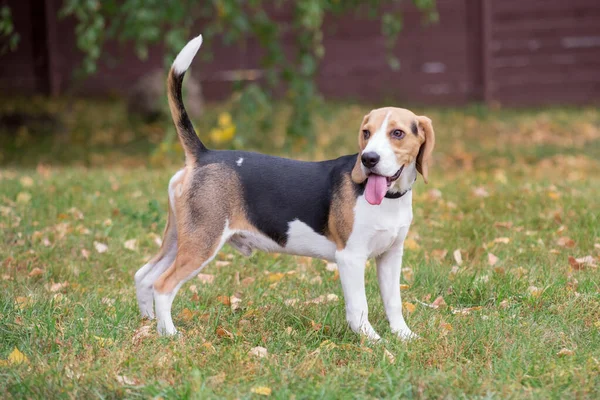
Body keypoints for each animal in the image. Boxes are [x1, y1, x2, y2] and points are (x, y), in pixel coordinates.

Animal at [135, 35, 436, 340]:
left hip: (180, 238)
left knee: (144, 276)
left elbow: (393, 302)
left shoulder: (391, 256)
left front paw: (404, 336)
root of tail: (204, 155)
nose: (368, 159)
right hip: (202, 241)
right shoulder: (350, 257)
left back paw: (148, 324)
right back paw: (169, 333)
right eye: (366, 133)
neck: (389, 198)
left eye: (397, 133)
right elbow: (359, 307)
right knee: (162, 285)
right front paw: (371, 340)